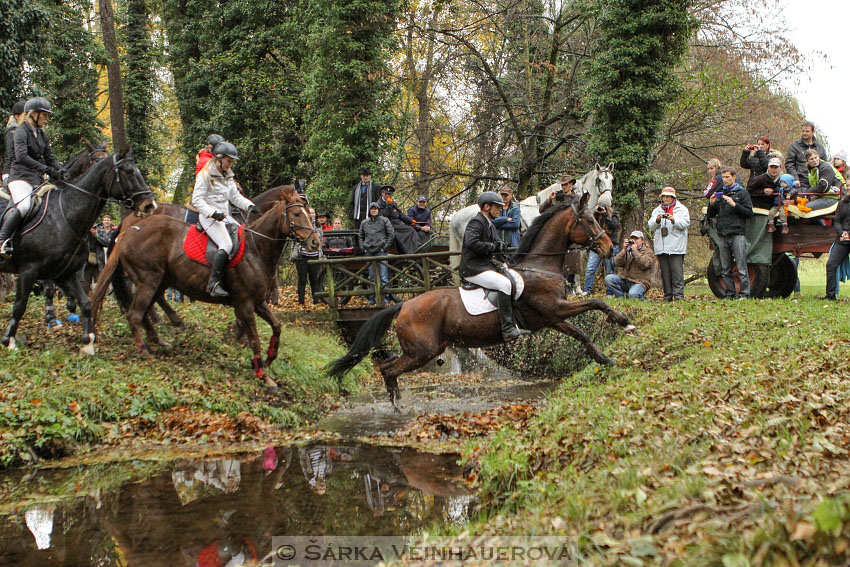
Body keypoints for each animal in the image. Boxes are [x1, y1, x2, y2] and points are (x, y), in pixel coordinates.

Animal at [0, 146, 156, 350]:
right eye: (128, 171)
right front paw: (9, 340)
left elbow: (85, 302)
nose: (149, 205)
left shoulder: (64, 273)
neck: (64, 214)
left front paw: (87, 341)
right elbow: (20, 306)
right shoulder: (29, 271)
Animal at [89, 189, 320, 388]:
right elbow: (254, 339)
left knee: (144, 311)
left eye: (310, 213)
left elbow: (277, 327)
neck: (255, 249)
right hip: (149, 281)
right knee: (135, 314)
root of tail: (129, 230)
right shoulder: (245, 304)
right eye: (297, 214)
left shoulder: (259, 302)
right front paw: (263, 375)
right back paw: (145, 350)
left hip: (158, 282)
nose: (315, 242)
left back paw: (160, 339)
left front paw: (267, 359)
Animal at [328, 193, 632, 406]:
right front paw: (624, 323)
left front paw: (606, 357)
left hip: (425, 350)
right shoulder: (555, 309)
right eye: (590, 221)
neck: (539, 267)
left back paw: (396, 402)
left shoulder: (551, 318)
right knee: (389, 369)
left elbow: (582, 334)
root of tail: (403, 304)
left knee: (388, 368)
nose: (609, 249)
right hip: (421, 352)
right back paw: (396, 406)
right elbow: (595, 306)